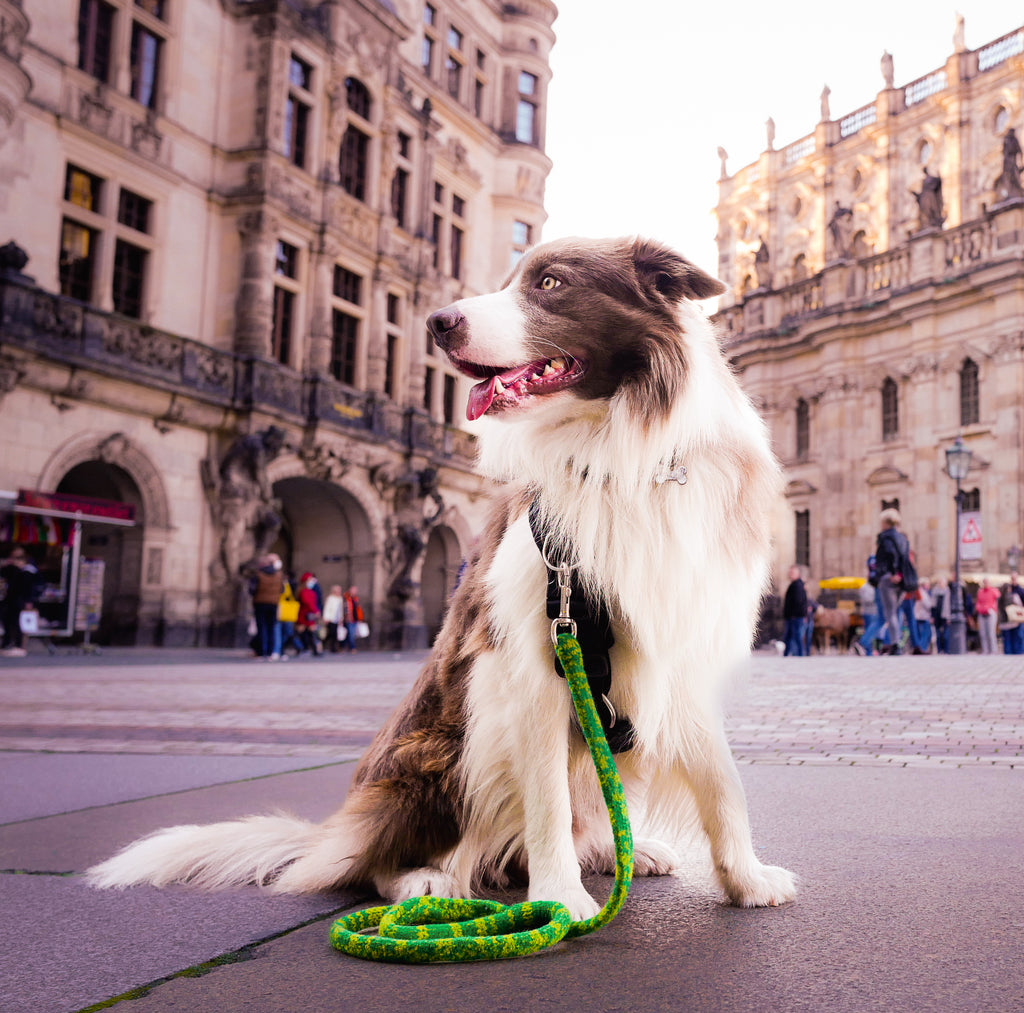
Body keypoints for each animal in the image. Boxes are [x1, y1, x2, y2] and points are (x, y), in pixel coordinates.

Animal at [88, 238, 794, 917]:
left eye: (549, 283)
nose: (436, 322)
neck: (614, 453)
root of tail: (342, 832)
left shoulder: (683, 643)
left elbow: (723, 782)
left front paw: (747, 879)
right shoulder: (536, 664)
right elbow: (547, 803)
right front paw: (562, 903)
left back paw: (627, 850)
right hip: (455, 743)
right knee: (384, 864)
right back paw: (428, 881)